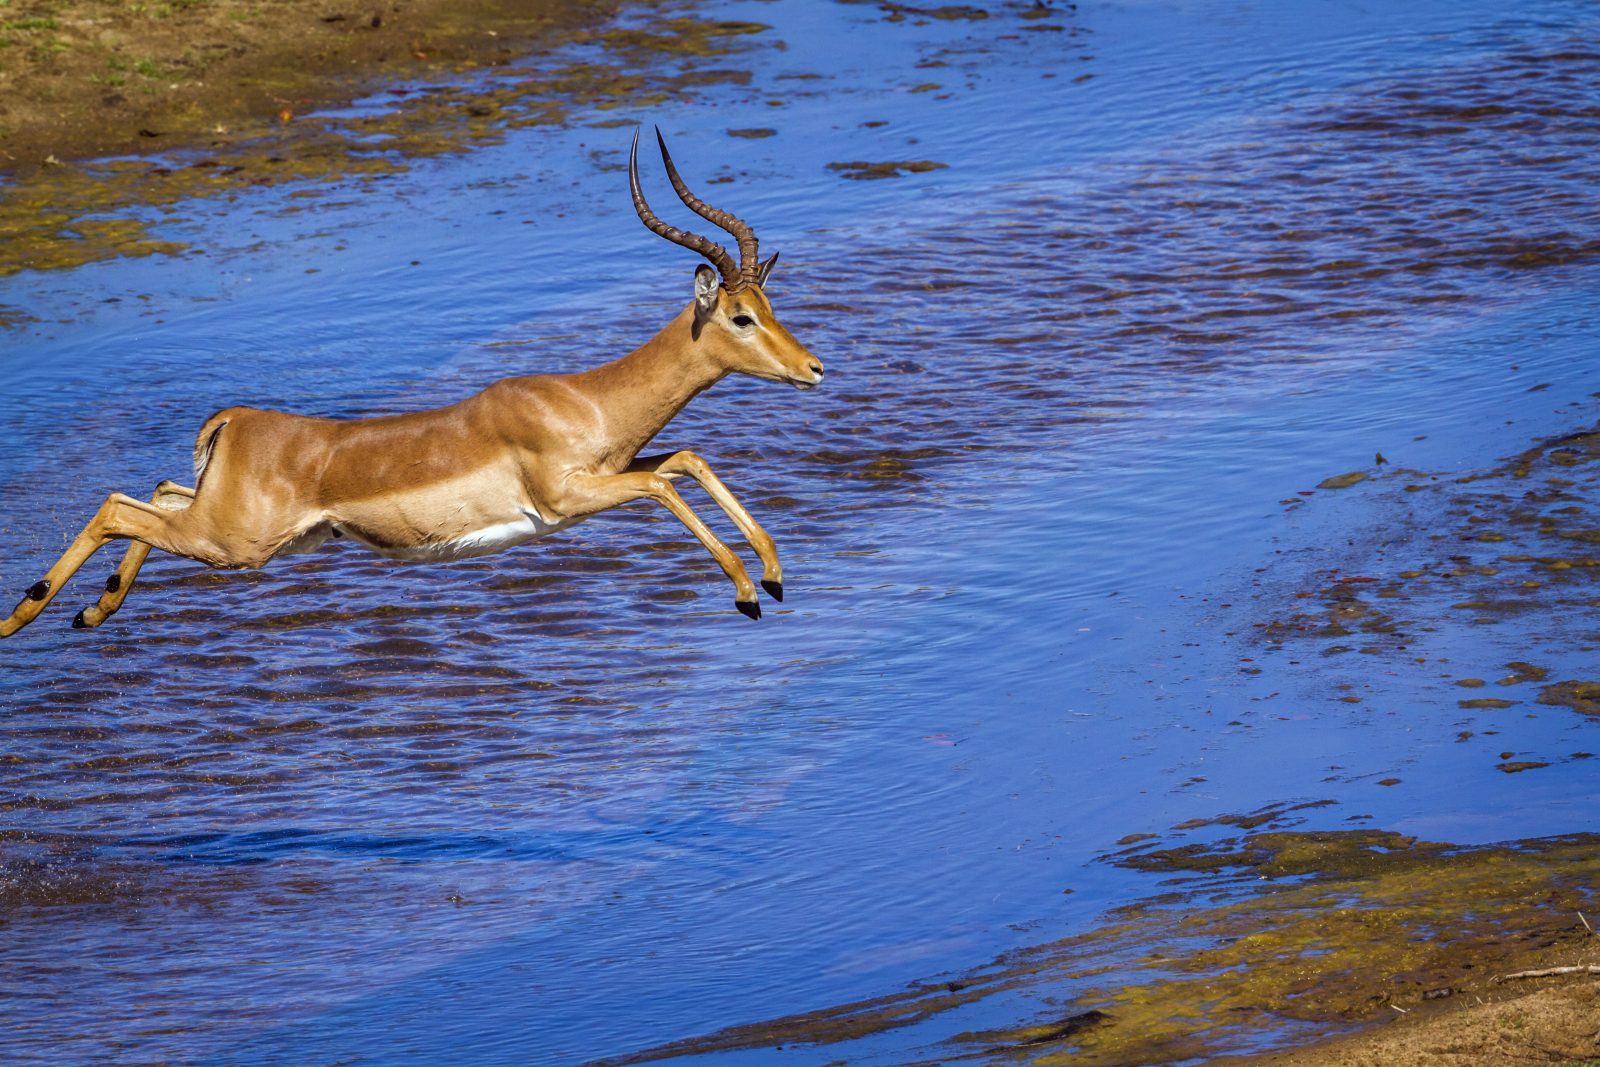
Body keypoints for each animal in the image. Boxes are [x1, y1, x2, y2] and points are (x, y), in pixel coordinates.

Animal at [0, 130, 824, 639]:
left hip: (236, 530)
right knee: (118, 506)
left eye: (770, 304)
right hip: (235, 544)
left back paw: (93, 611)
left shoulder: (608, 474)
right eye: (742, 316)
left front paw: (775, 579)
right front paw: (747, 592)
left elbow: (686, 459)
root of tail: (235, 420)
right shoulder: (569, 500)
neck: (583, 399)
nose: (813, 369)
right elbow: (663, 482)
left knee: (154, 494)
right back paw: (30, 614)